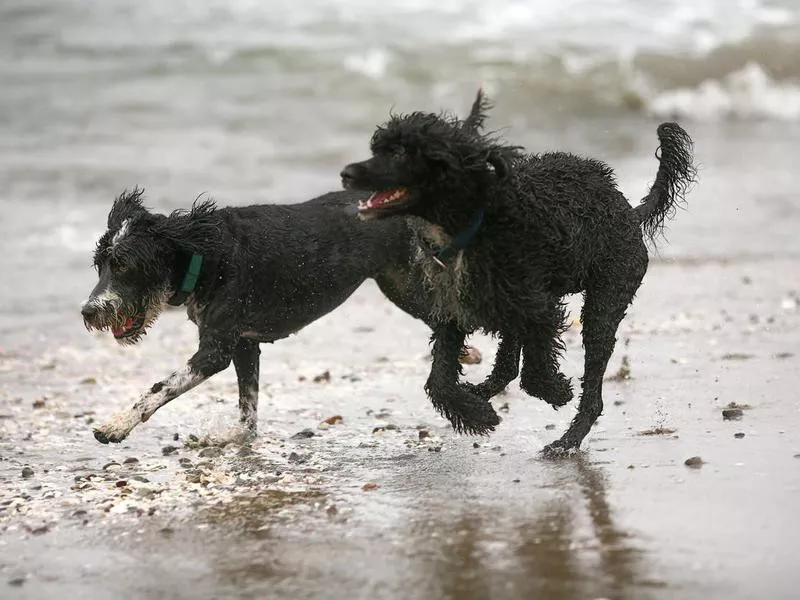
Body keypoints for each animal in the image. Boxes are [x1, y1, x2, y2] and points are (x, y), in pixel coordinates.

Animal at [340, 94, 696, 452]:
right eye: (377, 148)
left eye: (400, 152)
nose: (346, 173)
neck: (475, 223)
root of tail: (630, 214)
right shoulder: (454, 311)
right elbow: (440, 379)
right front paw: (477, 414)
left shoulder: (541, 309)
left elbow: (535, 373)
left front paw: (557, 391)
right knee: (508, 363)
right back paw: (482, 393)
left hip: (605, 296)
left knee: (591, 387)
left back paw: (568, 439)